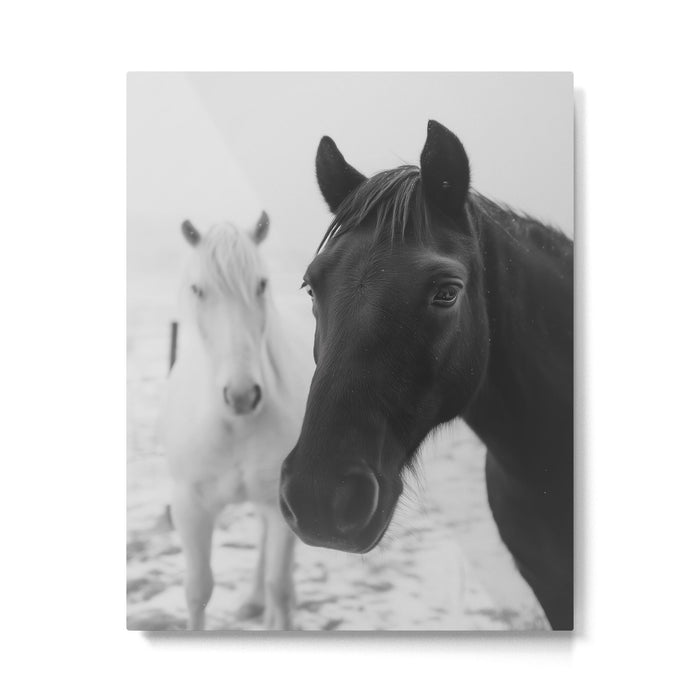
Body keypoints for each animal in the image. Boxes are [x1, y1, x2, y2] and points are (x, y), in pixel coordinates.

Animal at [160, 211, 312, 630]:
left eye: (261, 284)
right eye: (198, 289)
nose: (243, 396)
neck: (234, 425)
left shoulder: (280, 505)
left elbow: (280, 584)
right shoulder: (189, 507)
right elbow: (198, 591)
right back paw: (253, 602)